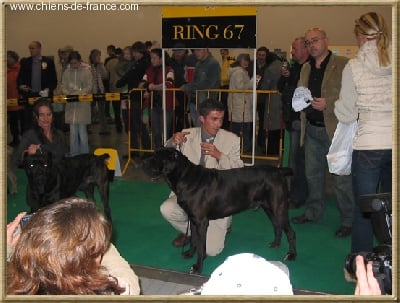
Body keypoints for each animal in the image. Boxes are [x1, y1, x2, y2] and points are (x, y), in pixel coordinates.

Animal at [144, 148, 296, 276]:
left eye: (156, 157)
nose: (142, 161)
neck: (184, 177)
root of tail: (278, 171)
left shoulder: (201, 222)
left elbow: (201, 246)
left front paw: (198, 267)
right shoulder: (192, 219)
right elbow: (194, 239)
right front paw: (189, 254)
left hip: (279, 208)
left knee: (290, 232)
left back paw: (291, 255)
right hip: (269, 208)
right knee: (277, 226)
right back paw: (275, 244)